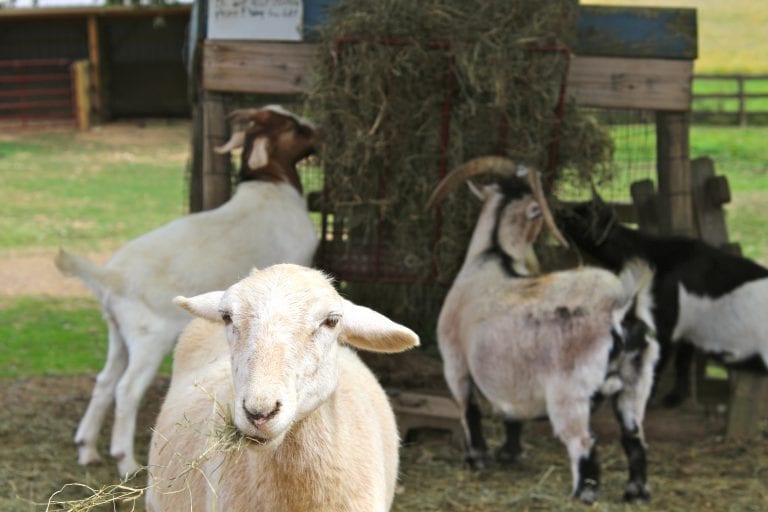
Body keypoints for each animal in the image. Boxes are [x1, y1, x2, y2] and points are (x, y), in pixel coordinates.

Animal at [54, 105, 320, 476]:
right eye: (295, 127)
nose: (319, 131)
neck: (272, 185)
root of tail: (110, 277)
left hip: (118, 331)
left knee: (105, 380)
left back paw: (87, 448)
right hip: (149, 336)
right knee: (126, 389)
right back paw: (126, 461)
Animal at [427, 156, 659, 503]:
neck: (492, 255)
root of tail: (622, 310)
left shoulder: (455, 363)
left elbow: (469, 410)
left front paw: (476, 459)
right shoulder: (513, 379)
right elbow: (512, 414)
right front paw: (509, 454)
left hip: (570, 392)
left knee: (583, 442)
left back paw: (583, 494)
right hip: (635, 384)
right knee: (635, 440)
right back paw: (636, 493)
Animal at [557, 195, 768, 407]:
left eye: (582, 215)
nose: (560, 212)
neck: (661, 257)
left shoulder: (667, 320)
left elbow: (660, 359)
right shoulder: (686, 326)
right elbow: (682, 362)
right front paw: (676, 397)